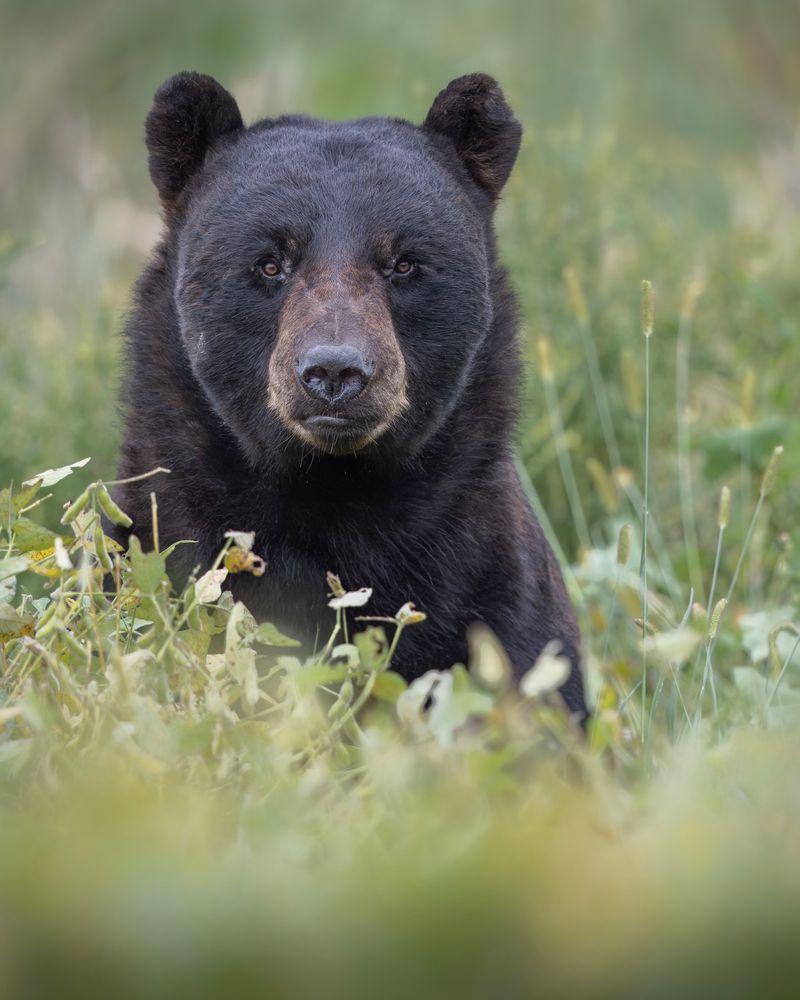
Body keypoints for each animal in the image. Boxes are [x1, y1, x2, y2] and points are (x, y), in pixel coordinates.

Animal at [111, 71, 588, 721]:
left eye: (405, 263)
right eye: (269, 263)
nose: (335, 372)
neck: (333, 498)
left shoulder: (497, 588)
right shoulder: (160, 542)